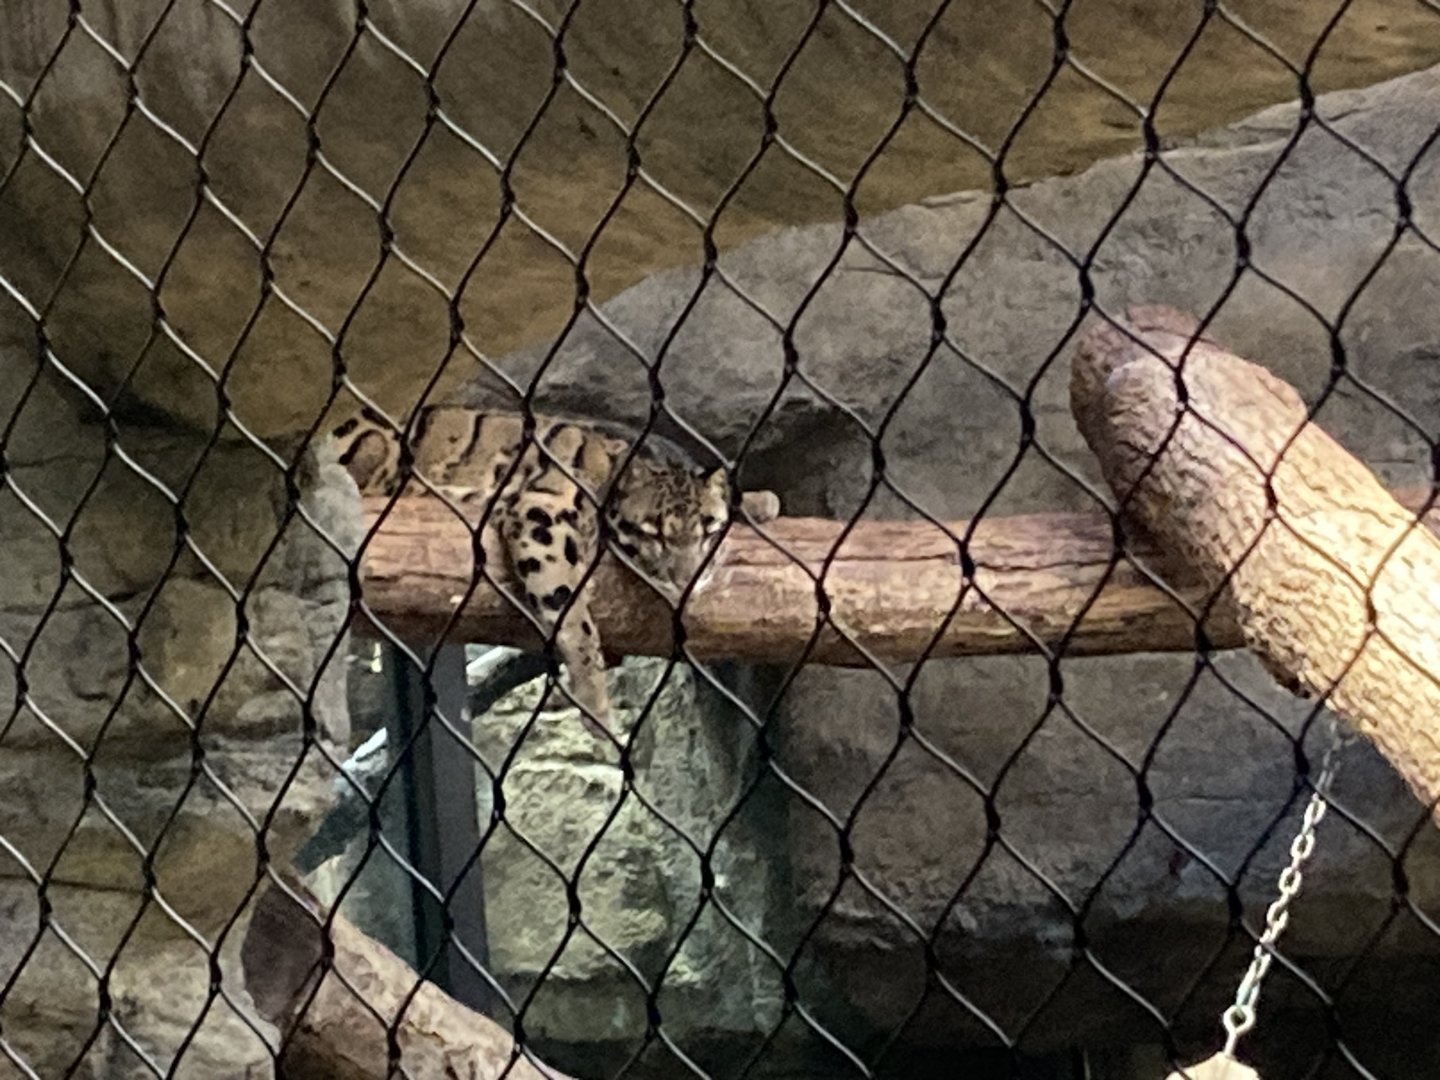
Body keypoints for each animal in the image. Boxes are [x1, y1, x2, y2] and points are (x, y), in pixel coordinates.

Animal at [330, 404, 780, 740]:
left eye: (708, 530)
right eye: (653, 532)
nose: (686, 579)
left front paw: (757, 501)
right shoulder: (541, 511)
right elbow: (573, 616)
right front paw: (596, 704)